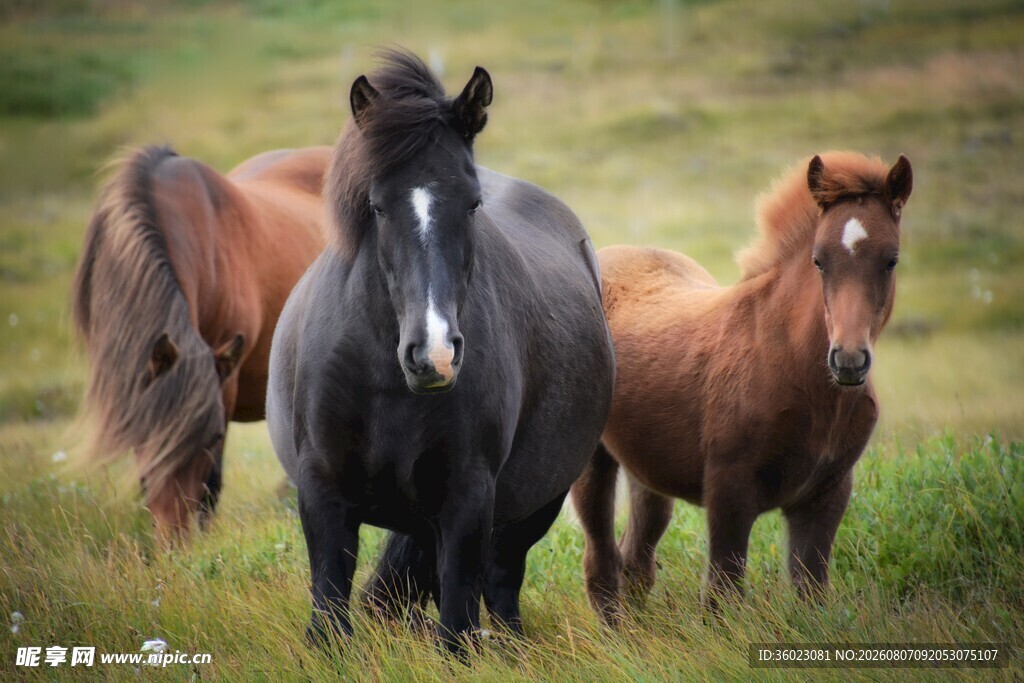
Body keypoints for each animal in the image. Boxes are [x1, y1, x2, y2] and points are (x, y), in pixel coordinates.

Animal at [266, 51, 615, 655]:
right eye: (377, 206)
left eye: (472, 204)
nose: (435, 355)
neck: (384, 380)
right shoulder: (322, 491)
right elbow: (330, 613)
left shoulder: (468, 498)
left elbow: (456, 624)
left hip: (536, 503)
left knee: (501, 583)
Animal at [571, 152, 913, 623]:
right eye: (819, 260)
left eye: (891, 260)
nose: (848, 361)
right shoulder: (729, 489)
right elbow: (722, 595)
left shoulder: (827, 494)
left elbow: (810, 591)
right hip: (591, 461)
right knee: (601, 560)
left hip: (647, 468)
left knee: (635, 559)